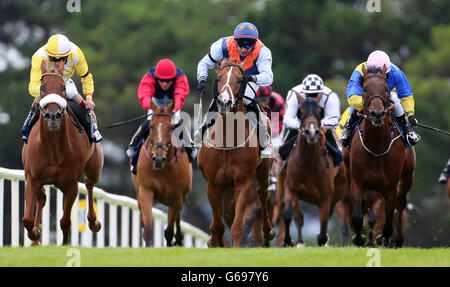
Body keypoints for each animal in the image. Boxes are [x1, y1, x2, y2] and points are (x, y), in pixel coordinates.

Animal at [21, 62, 102, 246]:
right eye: (42, 88)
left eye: (63, 88)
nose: (53, 115)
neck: (53, 148)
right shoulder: (33, 179)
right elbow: (27, 218)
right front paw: (34, 233)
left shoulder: (71, 184)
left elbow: (65, 220)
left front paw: (65, 244)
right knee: (42, 198)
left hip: (94, 168)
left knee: (89, 183)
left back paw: (94, 222)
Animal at [131, 97, 192, 248]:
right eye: (151, 127)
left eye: (170, 128)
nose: (158, 158)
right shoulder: (145, 191)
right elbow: (147, 227)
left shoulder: (177, 196)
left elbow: (169, 230)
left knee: (176, 219)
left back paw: (179, 239)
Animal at [199, 58, 276, 248]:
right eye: (219, 77)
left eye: (240, 80)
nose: (224, 102)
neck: (227, 141)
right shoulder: (213, 184)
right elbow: (218, 225)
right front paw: (215, 240)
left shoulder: (243, 183)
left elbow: (236, 226)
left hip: (262, 173)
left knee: (262, 194)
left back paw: (267, 231)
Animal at [282, 96, 344, 248]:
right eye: (300, 112)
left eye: (320, 112)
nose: (311, 132)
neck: (308, 163)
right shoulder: (291, 189)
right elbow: (289, 215)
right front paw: (289, 241)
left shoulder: (325, 197)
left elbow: (323, 226)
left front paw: (322, 239)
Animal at [346, 64, 416, 248]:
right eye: (364, 89)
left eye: (386, 89)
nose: (376, 114)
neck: (375, 148)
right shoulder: (357, 182)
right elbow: (357, 216)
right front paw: (359, 238)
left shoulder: (390, 187)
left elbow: (389, 214)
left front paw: (384, 237)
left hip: (407, 177)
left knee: (400, 205)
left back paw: (397, 240)